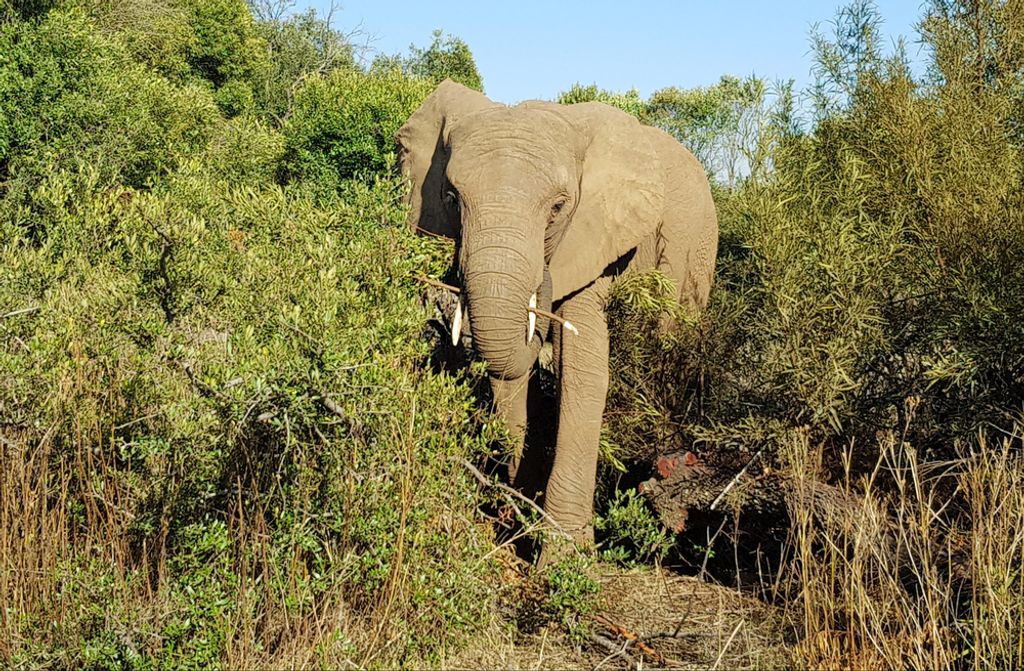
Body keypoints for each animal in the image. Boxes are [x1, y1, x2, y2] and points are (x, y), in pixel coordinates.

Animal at [396, 79, 718, 562]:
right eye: (451, 199)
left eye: (558, 208)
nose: (542, 283)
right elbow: (509, 374)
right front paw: (517, 519)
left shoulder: (596, 239)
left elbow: (581, 369)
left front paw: (563, 558)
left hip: (697, 253)